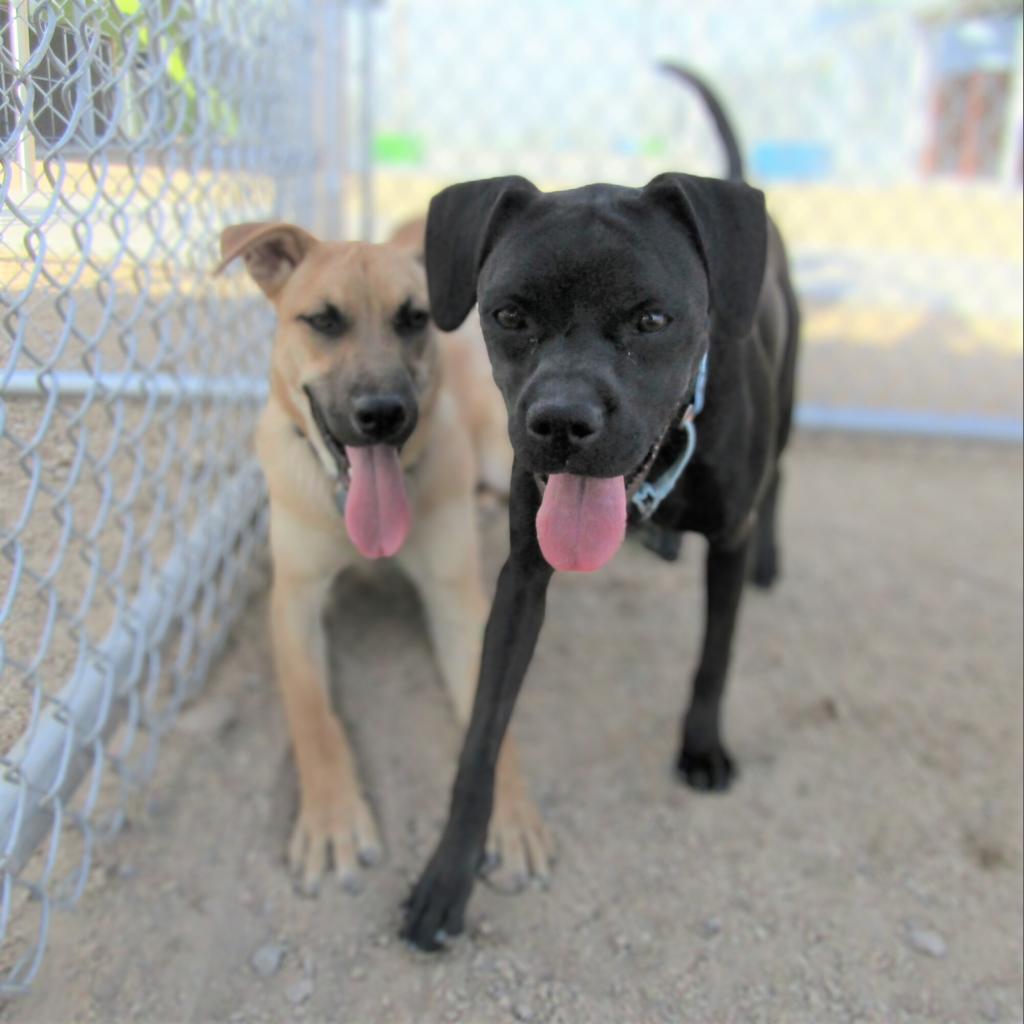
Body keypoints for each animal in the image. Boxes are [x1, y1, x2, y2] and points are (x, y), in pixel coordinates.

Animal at [218, 222, 552, 888]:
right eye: (322, 320)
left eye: (414, 318)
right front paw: (333, 821)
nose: (382, 414)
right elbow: (312, 714)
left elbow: (491, 723)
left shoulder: (460, 606)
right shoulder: (293, 602)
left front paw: (510, 814)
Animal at [399, 72, 798, 950]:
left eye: (651, 319)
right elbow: (482, 737)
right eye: (509, 314)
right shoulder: (522, 577)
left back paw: (772, 557)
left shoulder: (725, 539)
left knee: (781, 479)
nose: (560, 423)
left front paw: (701, 746)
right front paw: (448, 875)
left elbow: (714, 657)